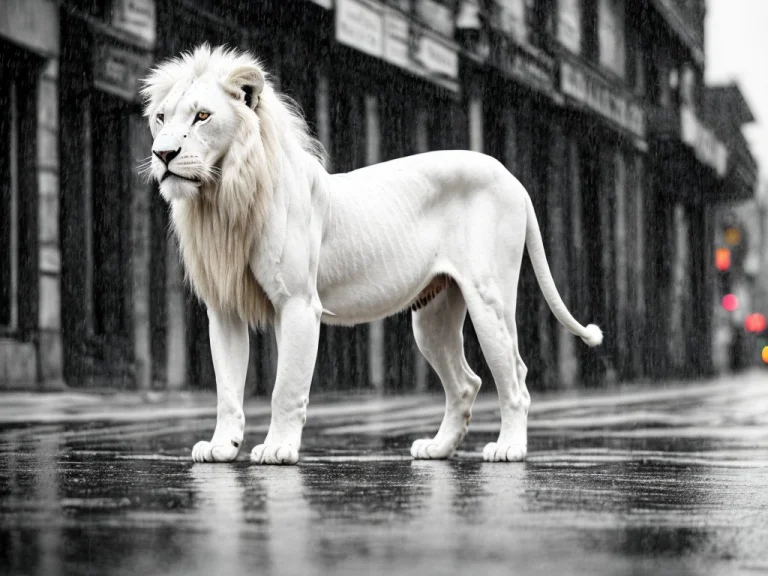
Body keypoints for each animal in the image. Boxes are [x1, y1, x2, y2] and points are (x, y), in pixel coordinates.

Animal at [142, 45, 602, 465]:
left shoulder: (298, 304)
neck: (221, 198)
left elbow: (285, 387)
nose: (163, 154)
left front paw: (278, 449)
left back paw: (509, 448)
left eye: (202, 116)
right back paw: (437, 448)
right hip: (432, 318)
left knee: (516, 377)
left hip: (489, 301)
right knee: (465, 382)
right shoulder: (224, 309)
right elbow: (227, 388)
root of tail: (512, 177)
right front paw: (222, 447)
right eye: (162, 117)